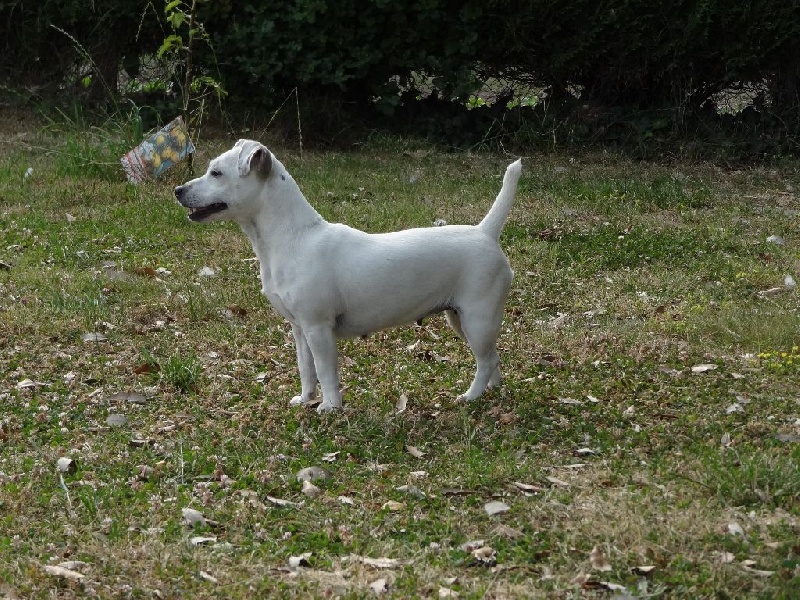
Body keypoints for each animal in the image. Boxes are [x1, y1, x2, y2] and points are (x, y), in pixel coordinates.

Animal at [175, 141, 520, 412]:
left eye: (216, 173)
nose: (177, 190)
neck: (293, 237)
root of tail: (485, 232)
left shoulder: (318, 328)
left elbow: (326, 371)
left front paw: (330, 407)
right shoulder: (299, 329)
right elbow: (306, 369)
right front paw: (305, 399)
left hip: (477, 319)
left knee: (485, 360)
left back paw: (471, 396)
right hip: (461, 319)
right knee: (492, 357)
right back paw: (490, 391)